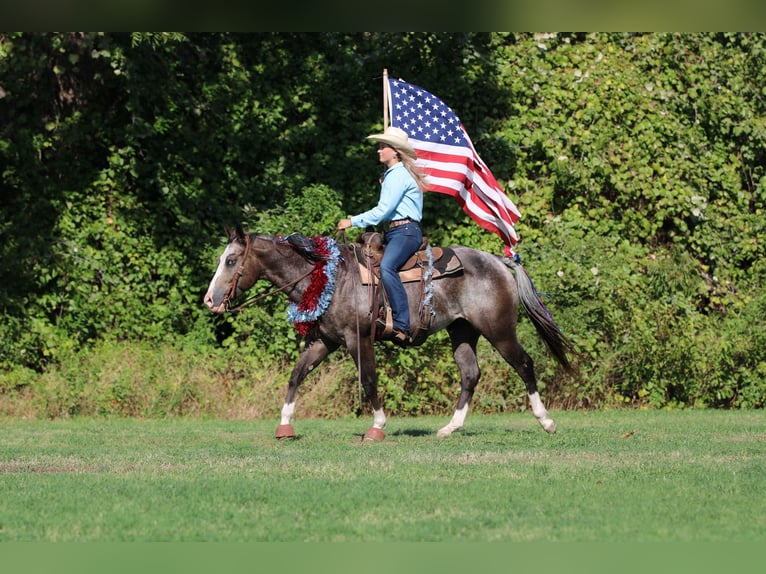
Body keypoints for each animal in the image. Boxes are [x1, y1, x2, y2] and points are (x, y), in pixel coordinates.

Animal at [206, 226, 576, 440]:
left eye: (231, 260)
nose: (210, 300)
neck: (328, 279)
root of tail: (499, 261)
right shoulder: (324, 341)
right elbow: (296, 375)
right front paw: (285, 424)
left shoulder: (358, 339)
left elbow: (369, 379)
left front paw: (377, 426)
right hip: (463, 332)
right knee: (470, 374)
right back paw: (450, 428)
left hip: (499, 330)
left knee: (524, 364)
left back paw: (546, 421)